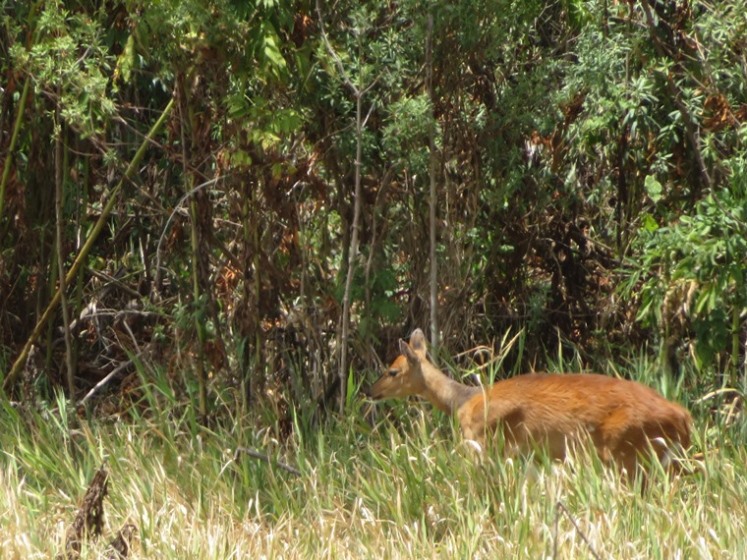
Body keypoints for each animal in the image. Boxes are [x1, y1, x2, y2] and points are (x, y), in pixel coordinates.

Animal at [370, 328, 696, 476]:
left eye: (392, 370)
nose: (370, 391)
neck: (464, 400)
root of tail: (684, 418)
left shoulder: (480, 442)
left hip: (625, 451)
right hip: (665, 459)